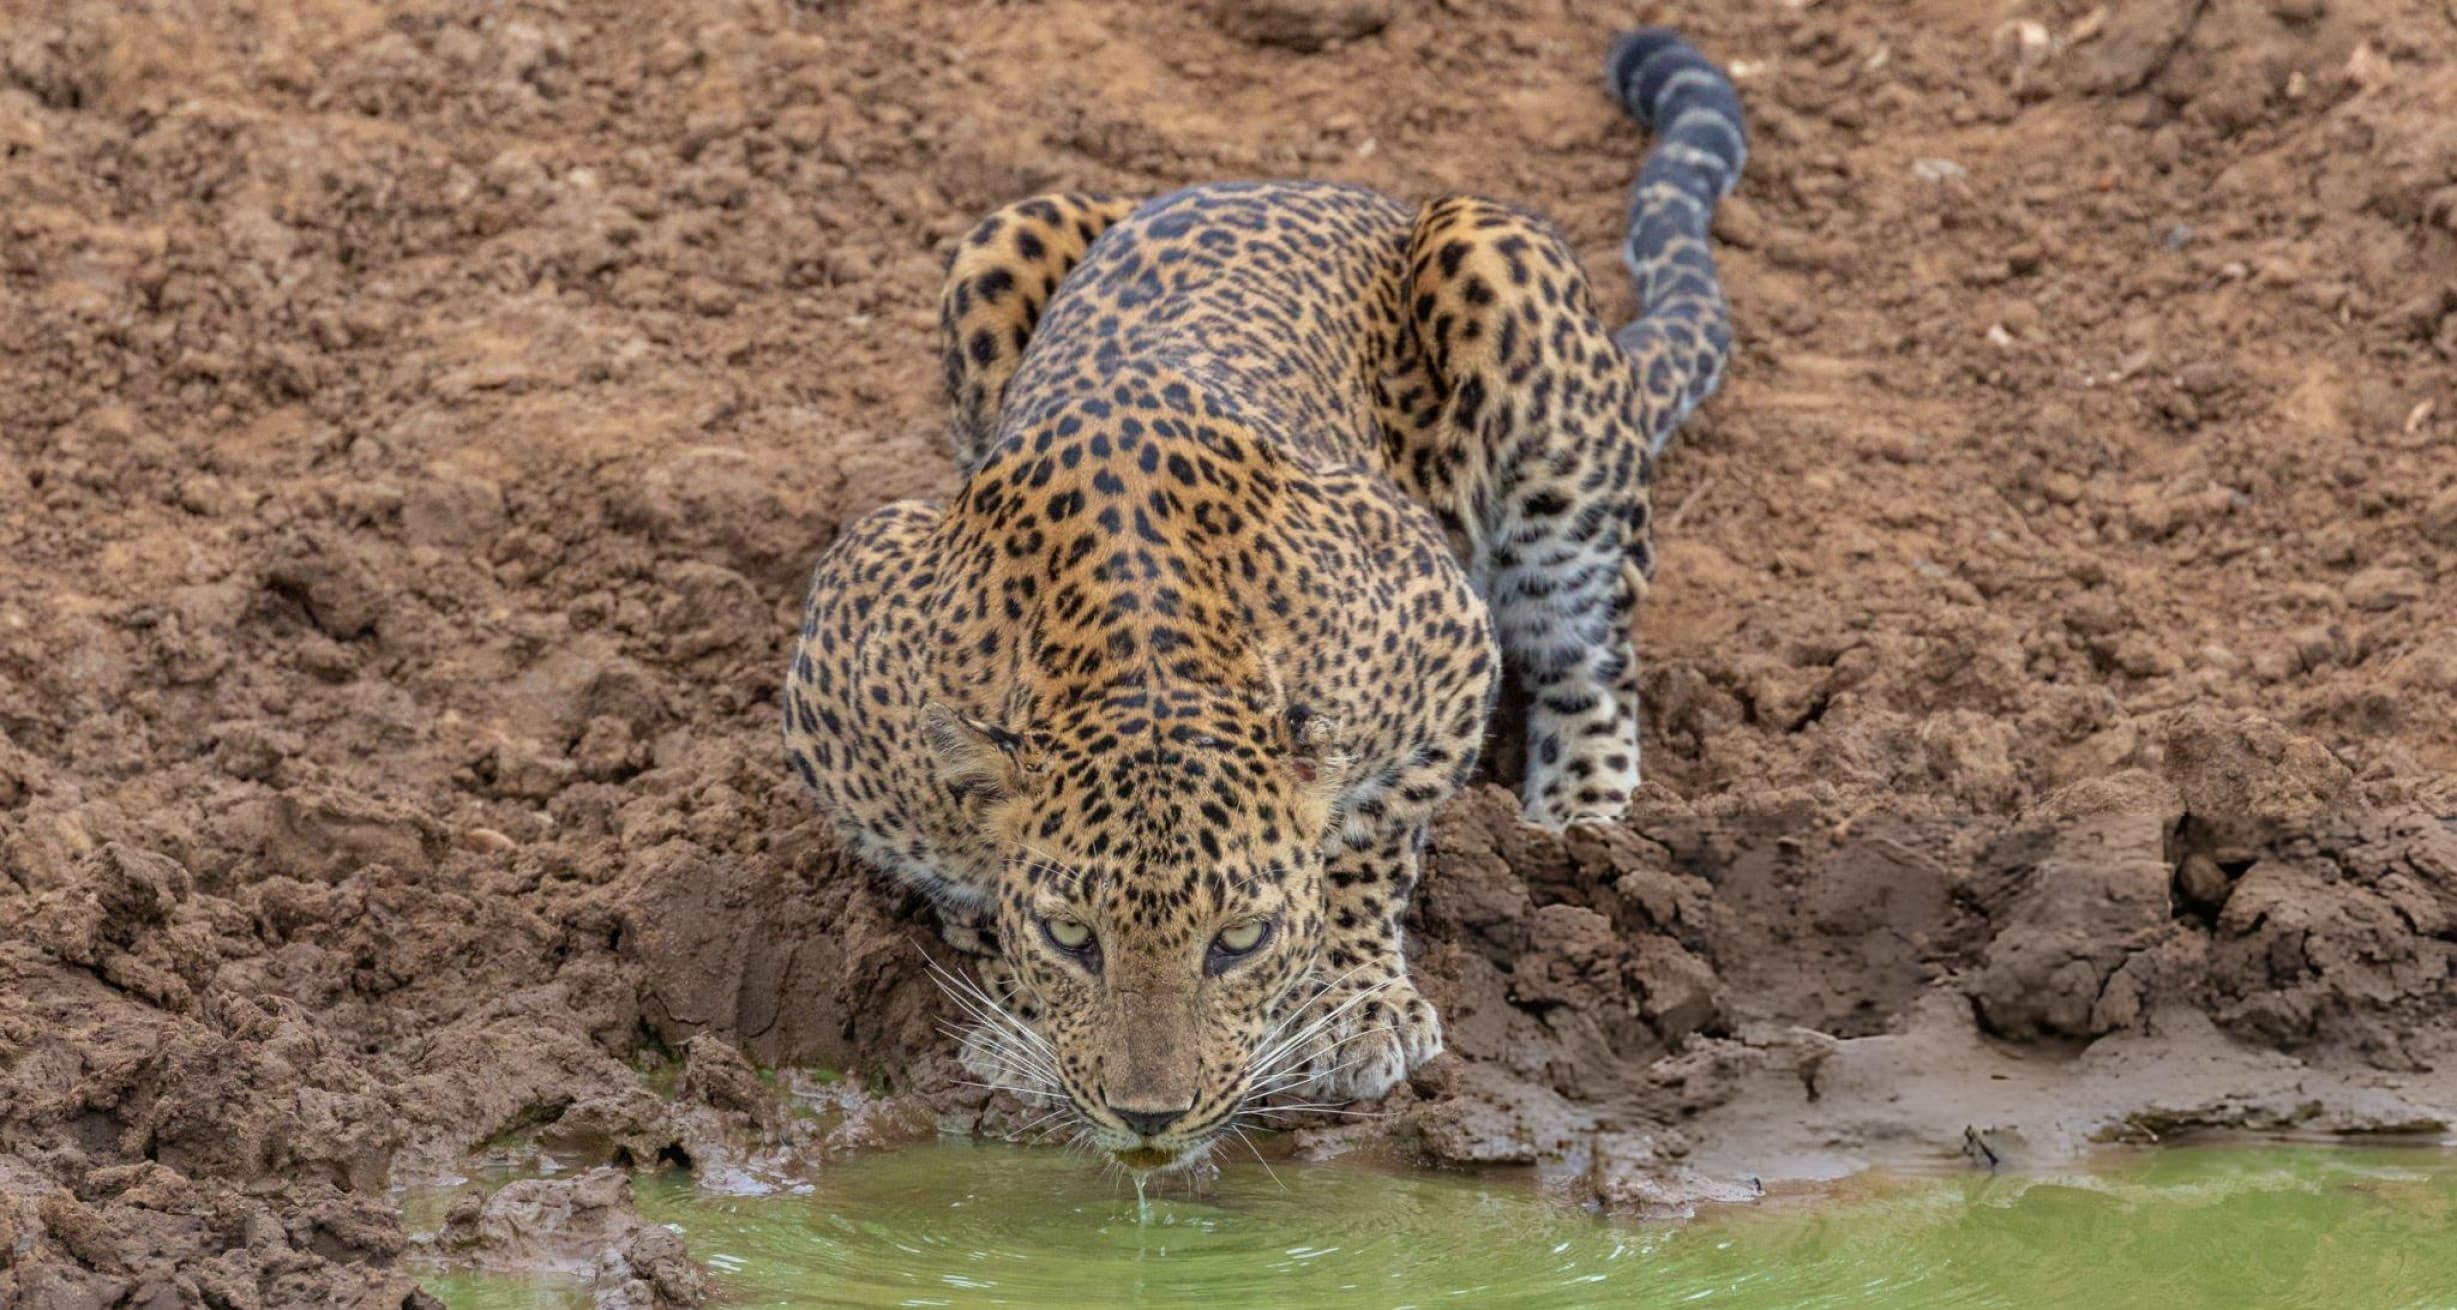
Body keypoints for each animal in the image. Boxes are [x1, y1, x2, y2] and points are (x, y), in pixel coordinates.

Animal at [782, 29, 1746, 1174]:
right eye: (1074, 935)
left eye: (1236, 941)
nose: (1149, 1118)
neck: (1139, 642)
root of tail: (1322, 187)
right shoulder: (846, 653)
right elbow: (968, 889)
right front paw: (1018, 1014)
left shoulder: (1441, 631)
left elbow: (1363, 840)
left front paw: (1354, 1003)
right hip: (1003, 237)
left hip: (1508, 289)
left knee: (1589, 654)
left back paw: (1578, 826)